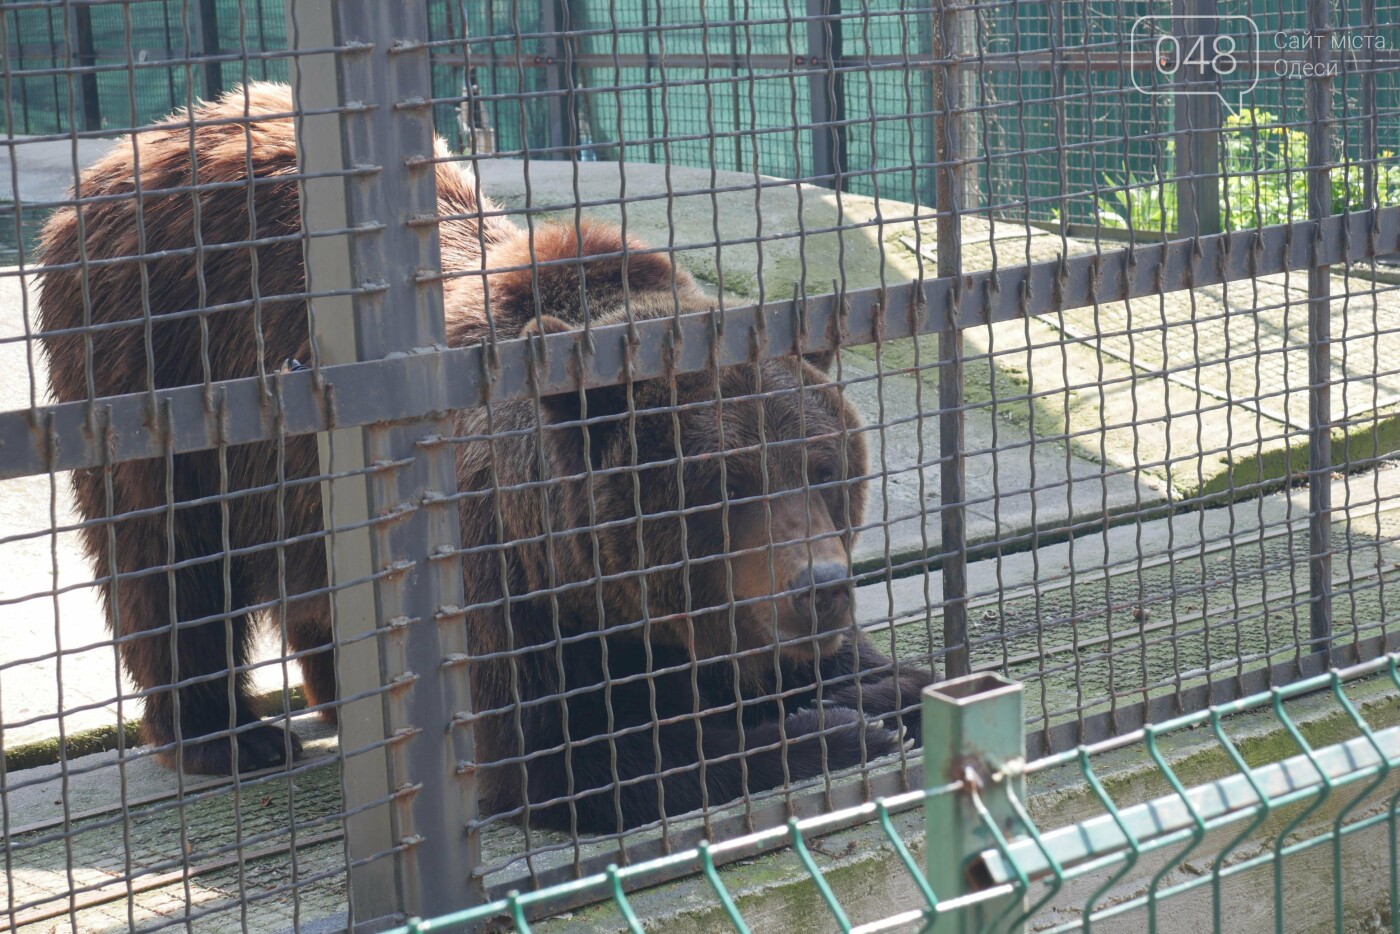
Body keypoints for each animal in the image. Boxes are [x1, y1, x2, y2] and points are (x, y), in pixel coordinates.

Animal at [35, 84, 929, 834]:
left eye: (822, 468)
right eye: (722, 485)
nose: (821, 585)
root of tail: (149, 135)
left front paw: (890, 685)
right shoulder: (494, 571)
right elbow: (563, 755)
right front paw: (839, 726)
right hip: (151, 372)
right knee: (167, 565)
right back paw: (227, 735)